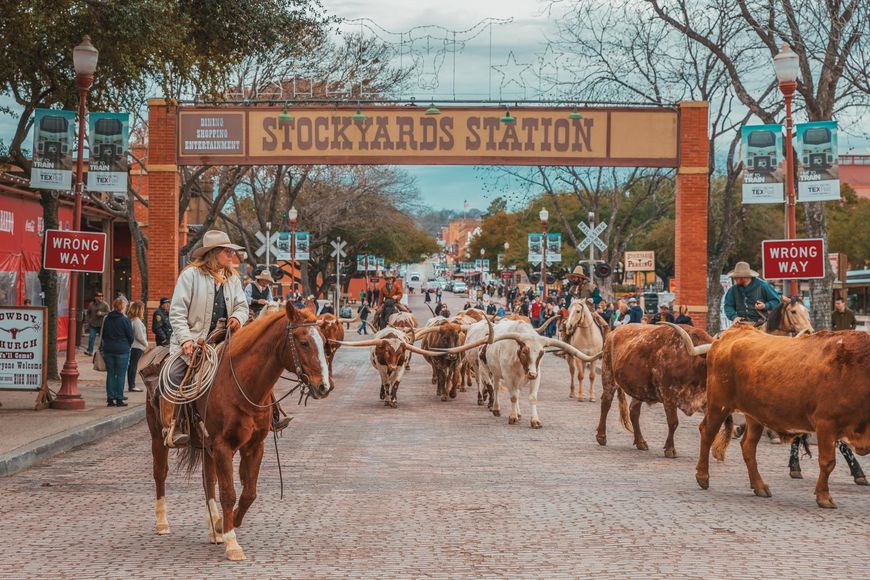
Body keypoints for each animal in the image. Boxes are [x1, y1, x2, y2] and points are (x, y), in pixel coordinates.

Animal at [146, 302, 334, 560]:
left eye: (324, 340)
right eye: (304, 342)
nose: (324, 386)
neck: (242, 385)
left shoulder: (254, 446)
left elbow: (248, 493)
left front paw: (223, 526)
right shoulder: (223, 446)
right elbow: (229, 493)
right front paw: (231, 541)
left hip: (206, 446)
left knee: (208, 481)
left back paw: (213, 526)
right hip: (159, 436)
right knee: (160, 473)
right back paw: (162, 522)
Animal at [600, 324, 716, 456]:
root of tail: (613, 332)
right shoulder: (668, 396)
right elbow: (673, 422)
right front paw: (670, 449)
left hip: (639, 389)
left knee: (634, 411)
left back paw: (640, 441)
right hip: (608, 376)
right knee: (606, 403)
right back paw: (601, 436)